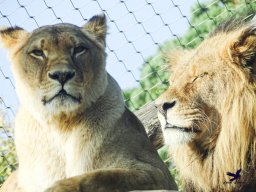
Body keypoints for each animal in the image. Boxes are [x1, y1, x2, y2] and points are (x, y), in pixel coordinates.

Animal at [0, 14, 176, 191]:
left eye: (79, 49)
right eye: (37, 52)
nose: (62, 75)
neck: (60, 124)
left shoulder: (157, 172)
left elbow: (98, 177)